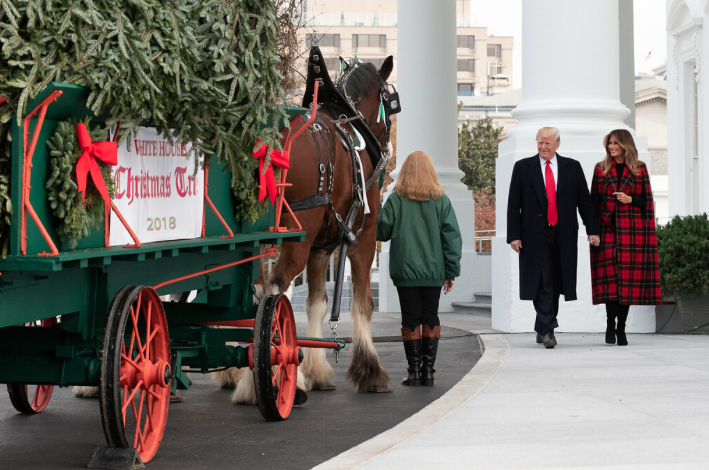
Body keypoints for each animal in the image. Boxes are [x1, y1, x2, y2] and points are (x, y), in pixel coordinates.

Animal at [224, 54, 396, 400]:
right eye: (391, 101)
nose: (386, 148)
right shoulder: (363, 237)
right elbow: (363, 303)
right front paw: (370, 370)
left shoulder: (321, 248)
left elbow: (316, 303)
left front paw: (316, 370)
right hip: (296, 238)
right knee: (274, 289)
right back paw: (268, 376)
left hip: (255, 241)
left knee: (254, 293)